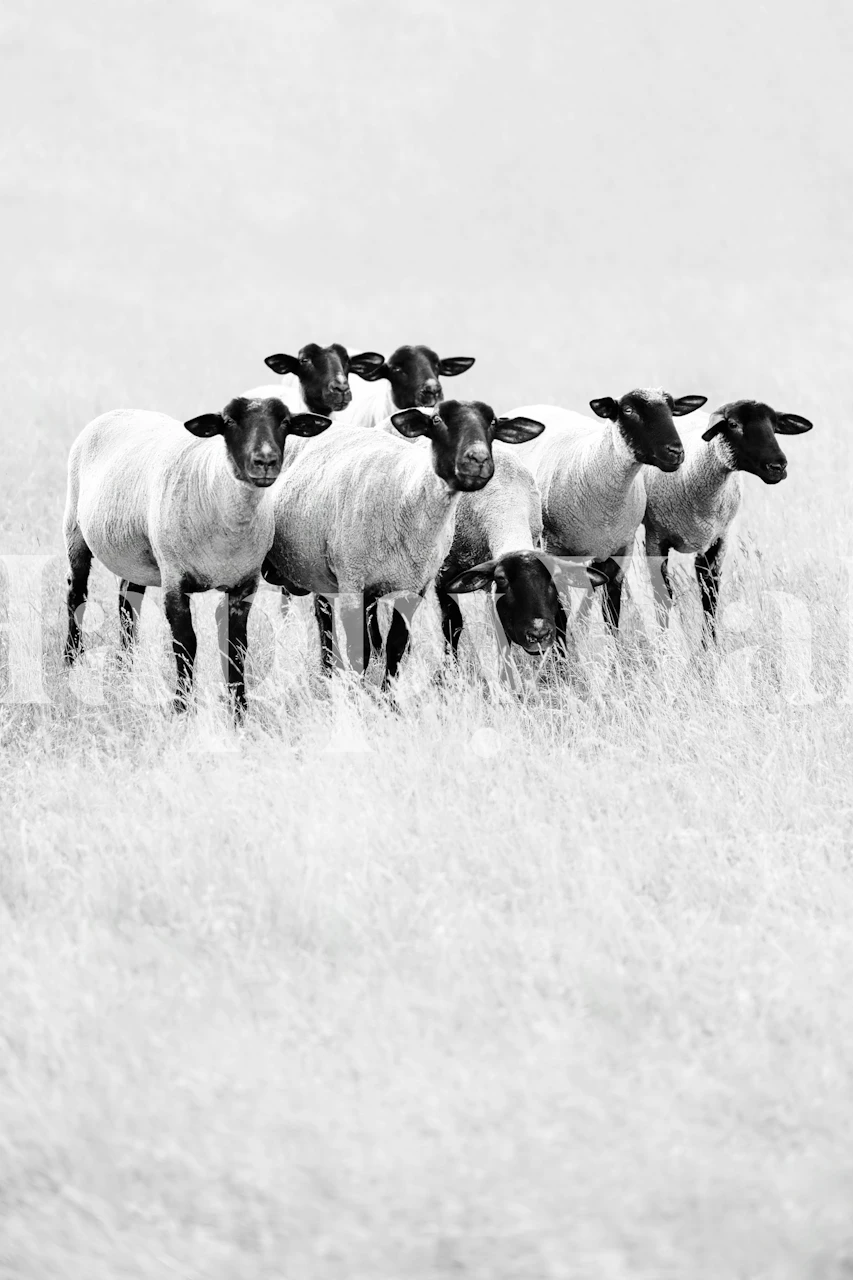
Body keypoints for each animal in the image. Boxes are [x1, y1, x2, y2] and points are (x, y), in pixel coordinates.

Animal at [63, 396, 332, 718]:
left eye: (285, 422)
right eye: (229, 421)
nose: (265, 461)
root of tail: (120, 411)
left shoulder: (244, 586)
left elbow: (236, 646)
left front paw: (239, 712)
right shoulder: (174, 580)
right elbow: (185, 644)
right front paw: (181, 707)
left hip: (135, 556)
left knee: (127, 602)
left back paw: (125, 666)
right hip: (75, 529)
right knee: (76, 595)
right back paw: (70, 661)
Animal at [261, 400, 545, 689]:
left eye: (493, 423)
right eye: (436, 421)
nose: (478, 459)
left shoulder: (413, 588)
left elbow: (397, 645)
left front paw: (388, 694)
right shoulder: (358, 581)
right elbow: (362, 649)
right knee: (325, 618)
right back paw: (327, 669)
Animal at [509, 389, 707, 640]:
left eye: (671, 409)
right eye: (628, 410)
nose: (676, 452)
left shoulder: (619, 553)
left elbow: (611, 613)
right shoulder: (553, 550)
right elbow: (559, 614)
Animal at [643, 398, 813, 638]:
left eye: (774, 426)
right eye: (733, 424)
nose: (778, 467)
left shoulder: (717, 541)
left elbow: (710, 597)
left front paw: (710, 645)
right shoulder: (655, 539)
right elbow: (663, 597)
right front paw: (663, 643)